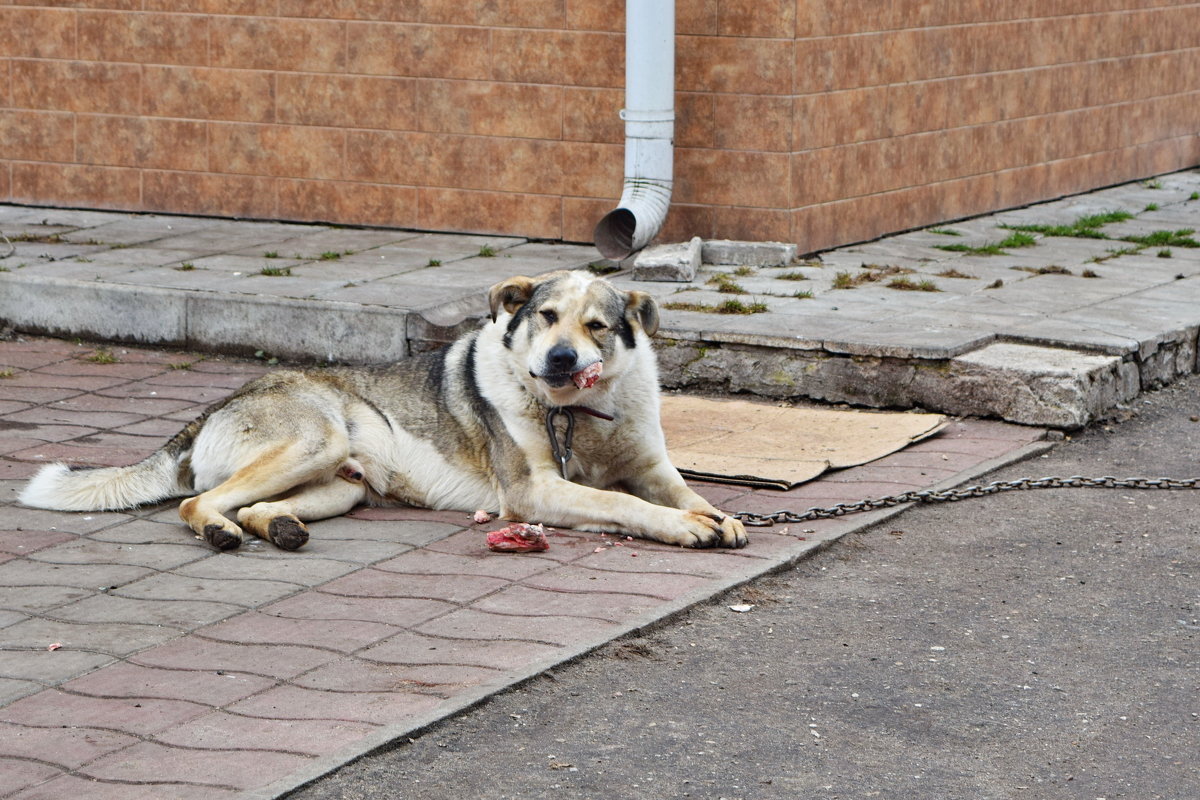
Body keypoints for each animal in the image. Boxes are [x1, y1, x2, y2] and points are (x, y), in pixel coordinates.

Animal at [18, 268, 744, 551]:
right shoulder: (532, 491)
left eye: (597, 326)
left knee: (247, 506)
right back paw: (223, 532)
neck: (579, 412)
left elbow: (683, 491)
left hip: (340, 484)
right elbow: (622, 503)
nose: (562, 360)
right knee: (198, 503)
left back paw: (275, 528)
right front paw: (687, 528)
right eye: (546, 317)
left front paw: (719, 516)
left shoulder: (651, 467)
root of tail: (215, 408)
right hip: (316, 443)